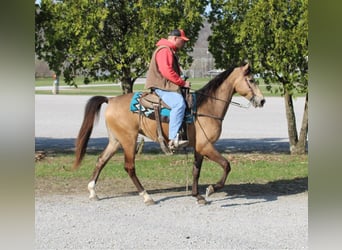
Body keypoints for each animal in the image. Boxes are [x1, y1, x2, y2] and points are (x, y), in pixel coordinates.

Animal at [73, 63, 264, 205]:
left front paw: (197, 196)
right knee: (129, 167)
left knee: (101, 160)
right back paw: (147, 196)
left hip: (115, 140)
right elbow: (226, 165)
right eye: (251, 80)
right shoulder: (206, 146)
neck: (206, 107)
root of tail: (111, 100)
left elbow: (196, 171)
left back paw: (93, 192)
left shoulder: (199, 147)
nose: (262, 100)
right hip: (128, 140)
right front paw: (211, 189)